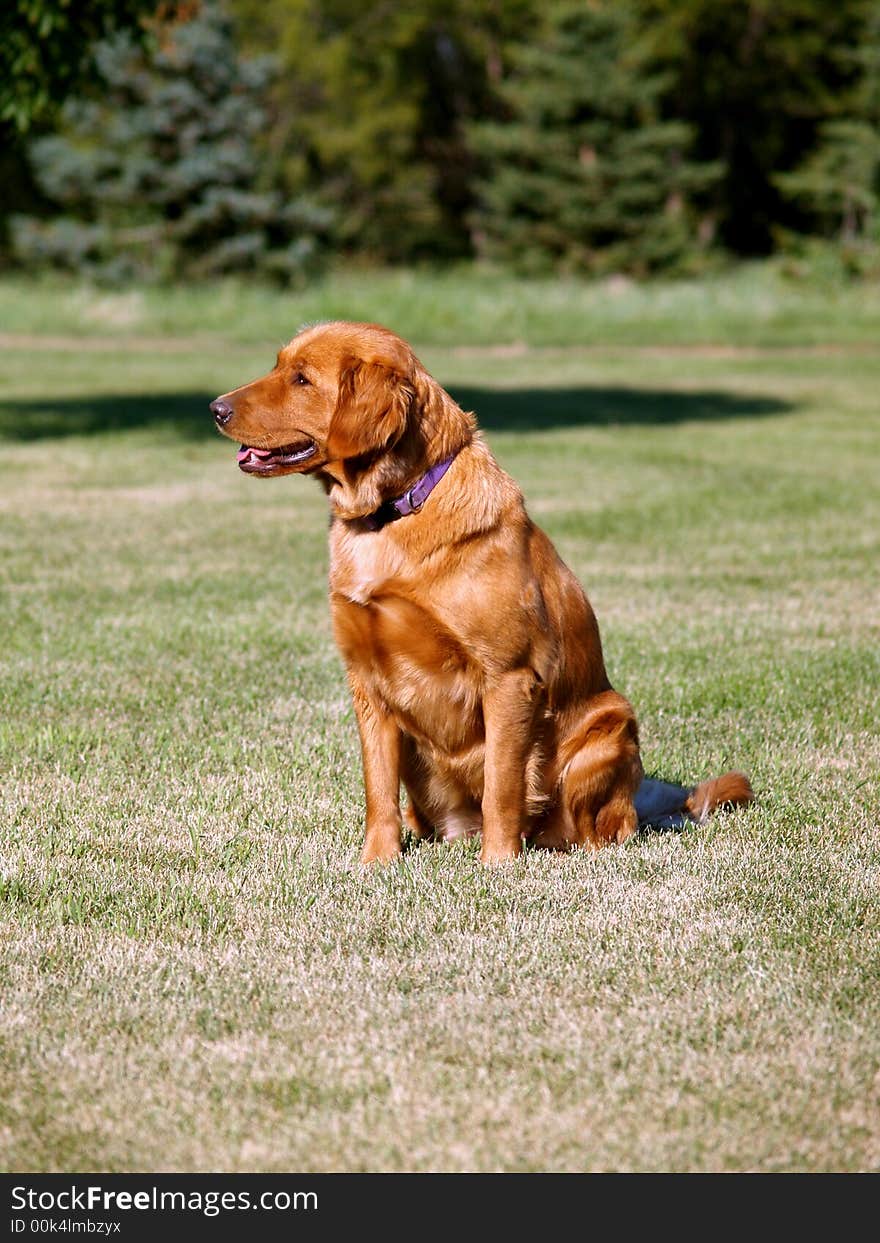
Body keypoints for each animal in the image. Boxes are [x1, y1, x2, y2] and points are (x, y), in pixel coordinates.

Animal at [210, 323, 750, 865]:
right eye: (278, 365)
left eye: (302, 379)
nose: (216, 409)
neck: (392, 513)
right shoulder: (366, 683)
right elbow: (378, 788)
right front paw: (377, 862)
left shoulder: (508, 678)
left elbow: (502, 786)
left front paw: (498, 865)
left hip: (611, 728)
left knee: (600, 829)